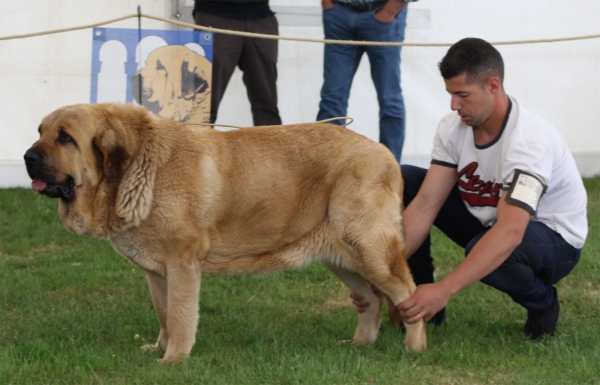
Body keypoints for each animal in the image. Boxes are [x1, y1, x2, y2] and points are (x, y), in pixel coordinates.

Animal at [23, 102, 426, 360]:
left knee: (408, 293)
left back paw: (414, 348)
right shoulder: (157, 272)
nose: (27, 157)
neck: (139, 166)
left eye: (65, 138)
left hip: (367, 248)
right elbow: (164, 314)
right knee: (372, 299)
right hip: (342, 256)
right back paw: (360, 345)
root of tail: (386, 153)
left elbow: (181, 316)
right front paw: (159, 349)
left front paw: (173, 360)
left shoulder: (183, 264)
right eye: (40, 132)